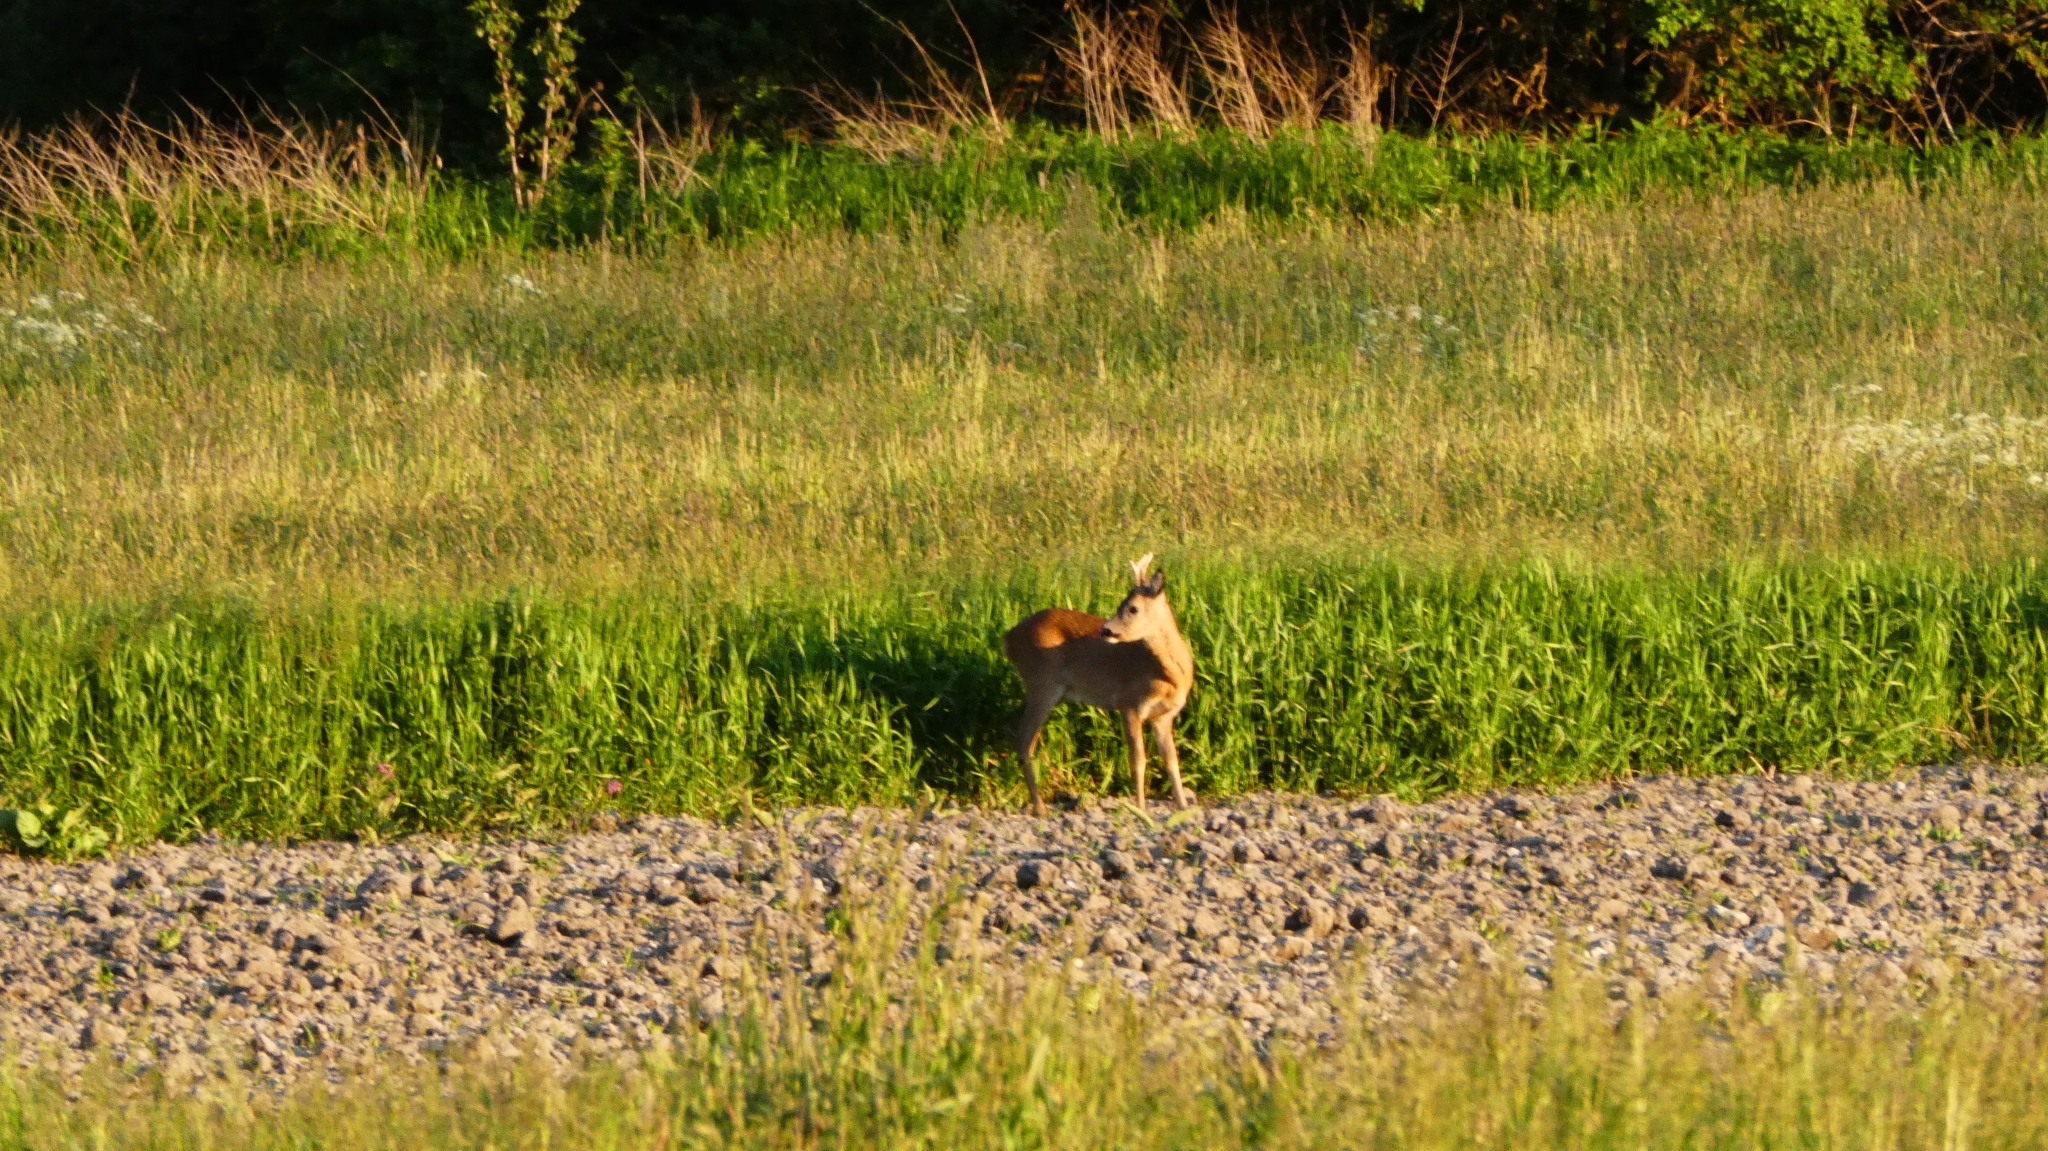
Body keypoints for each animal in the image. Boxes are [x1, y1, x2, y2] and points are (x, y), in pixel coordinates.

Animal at [1001, 553, 1195, 817]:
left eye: (1133, 608)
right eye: (1120, 605)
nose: (1106, 630)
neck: (1169, 674)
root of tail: (1008, 638)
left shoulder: (1163, 716)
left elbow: (1171, 760)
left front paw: (1183, 806)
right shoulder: (1129, 704)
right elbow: (1138, 759)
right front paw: (1140, 808)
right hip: (1042, 683)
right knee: (1024, 741)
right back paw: (1040, 808)